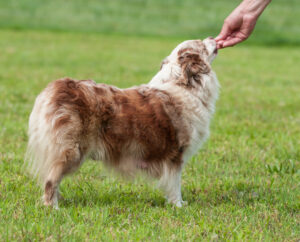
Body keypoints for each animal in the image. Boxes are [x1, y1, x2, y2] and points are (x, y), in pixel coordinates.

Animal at [25, 37, 218, 208]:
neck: (183, 84)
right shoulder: (175, 154)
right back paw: (53, 207)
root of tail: (56, 87)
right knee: (51, 180)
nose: (213, 37)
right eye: (201, 43)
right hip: (70, 151)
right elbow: (175, 183)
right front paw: (178, 205)